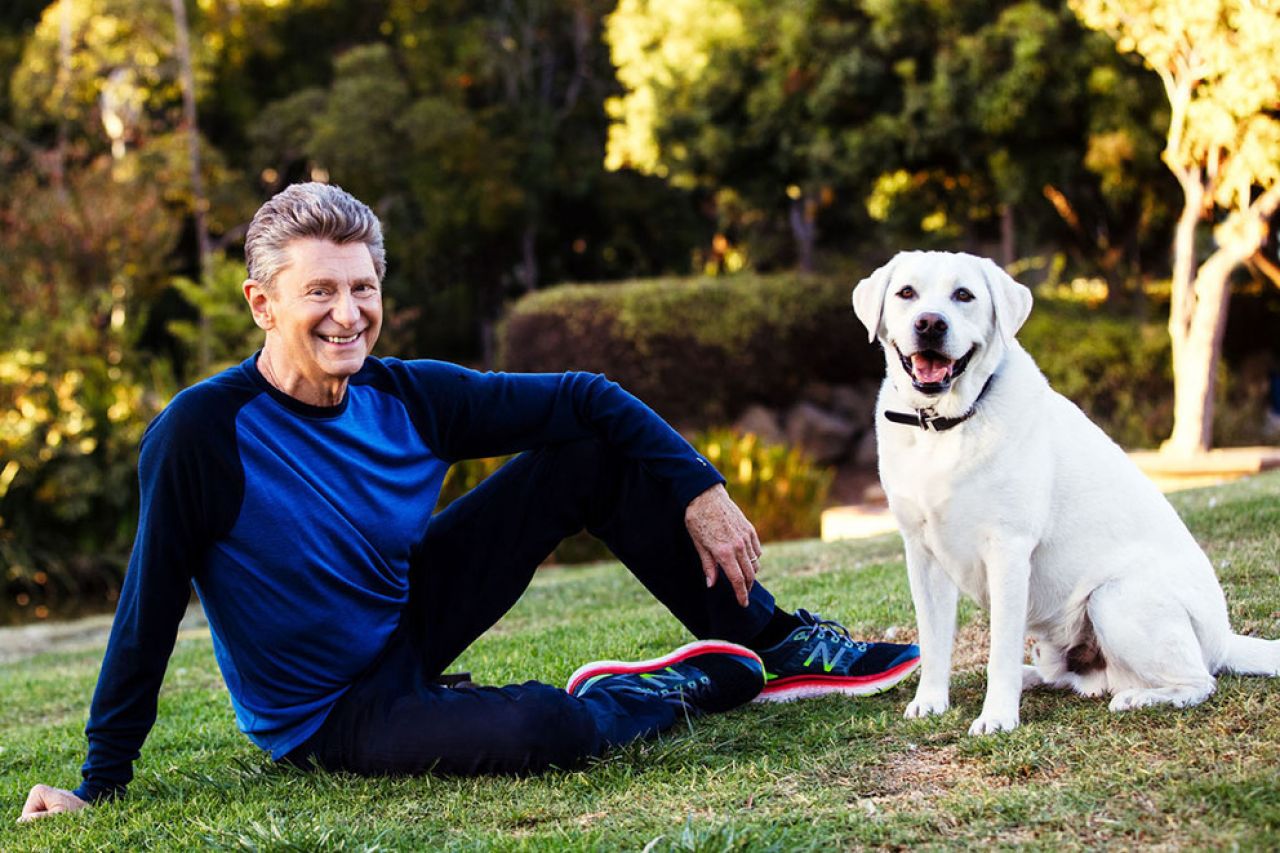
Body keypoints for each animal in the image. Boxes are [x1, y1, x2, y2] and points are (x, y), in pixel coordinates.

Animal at [849, 251, 1280, 732]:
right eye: (906, 293)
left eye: (964, 295)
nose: (929, 324)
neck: (945, 426)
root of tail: (1224, 638)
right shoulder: (921, 553)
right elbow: (934, 639)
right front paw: (930, 701)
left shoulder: (1009, 550)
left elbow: (1000, 648)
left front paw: (997, 717)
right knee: (1075, 677)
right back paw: (1038, 677)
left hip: (1114, 598)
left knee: (1200, 680)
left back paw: (1139, 698)